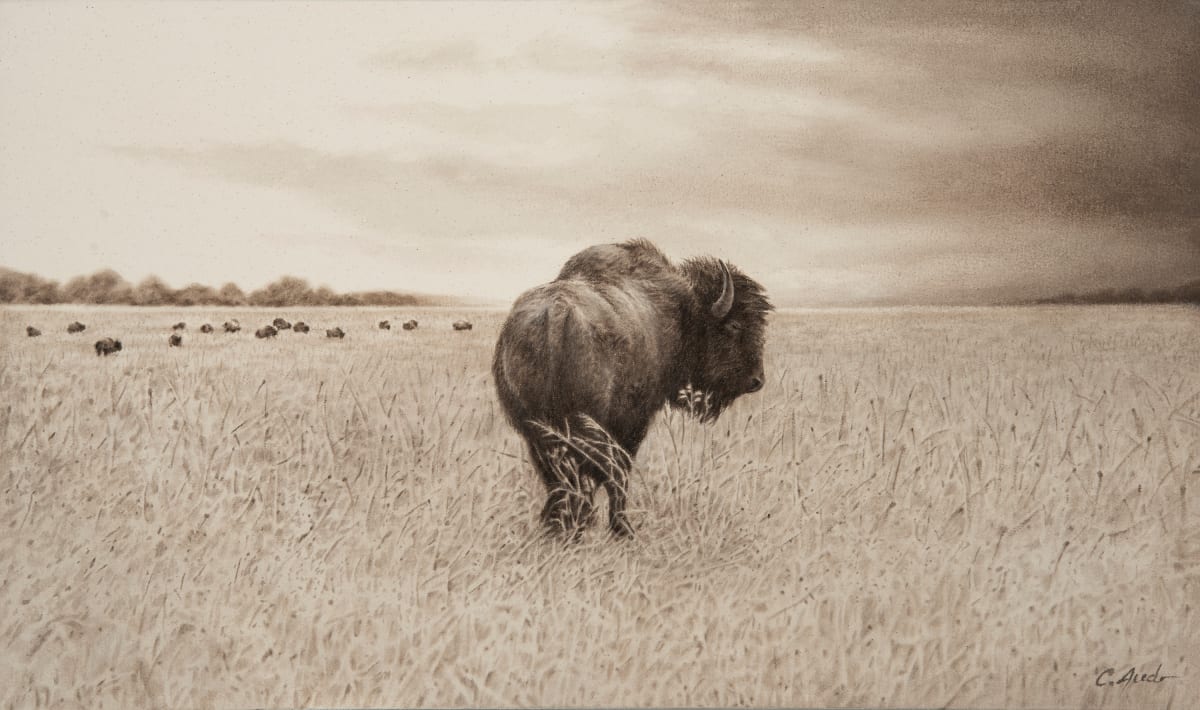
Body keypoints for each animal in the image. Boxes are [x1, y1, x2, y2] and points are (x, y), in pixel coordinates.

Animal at [493, 239, 772, 538]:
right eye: (734, 325)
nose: (757, 380)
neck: (683, 312)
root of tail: (557, 312)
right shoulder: (635, 421)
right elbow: (620, 468)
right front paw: (621, 529)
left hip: (535, 425)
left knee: (559, 474)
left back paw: (558, 523)